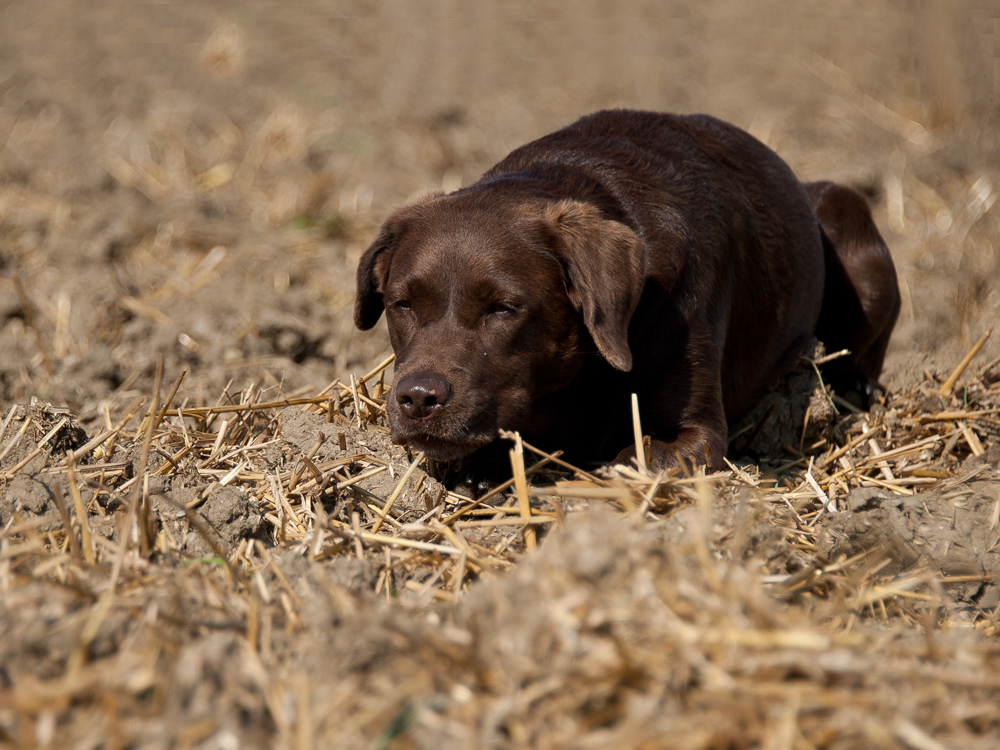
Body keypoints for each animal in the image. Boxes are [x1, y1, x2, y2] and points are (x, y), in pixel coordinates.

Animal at [356, 111, 904, 484]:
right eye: (402, 304)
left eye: (502, 308)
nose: (417, 398)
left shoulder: (697, 431)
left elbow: (638, 456)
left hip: (849, 228)